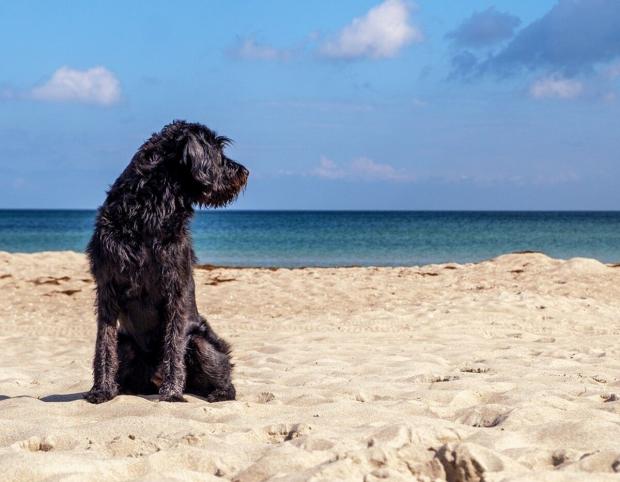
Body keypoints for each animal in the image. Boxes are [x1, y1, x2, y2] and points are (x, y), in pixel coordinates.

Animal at [83, 119, 248, 402]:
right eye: (217, 152)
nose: (244, 172)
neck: (149, 209)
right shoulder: (107, 288)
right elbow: (103, 344)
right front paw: (101, 389)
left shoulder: (175, 287)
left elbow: (174, 342)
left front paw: (172, 392)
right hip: (126, 343)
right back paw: (122, 387)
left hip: (201, 342)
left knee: (226, 380)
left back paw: (216, 392)